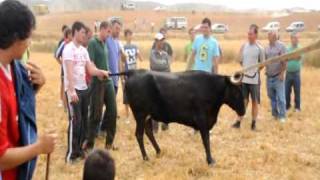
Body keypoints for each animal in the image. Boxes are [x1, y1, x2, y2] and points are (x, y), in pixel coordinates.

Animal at [114, 69, 245, 165]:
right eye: (236, 92)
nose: (243, 111)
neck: (211, 88)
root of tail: (134, 72)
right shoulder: (202, 121)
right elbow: (206, 141)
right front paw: (210, 160)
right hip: (140, 115)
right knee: (139, 134)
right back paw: (146, 158)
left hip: (147, 116)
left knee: (149, 132)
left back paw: (159, 151)